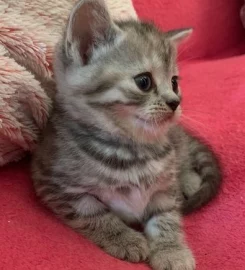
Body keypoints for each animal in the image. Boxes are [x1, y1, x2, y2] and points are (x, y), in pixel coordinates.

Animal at [31, 1, 221, 268]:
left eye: (174, 82)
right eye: (144, 81)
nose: (175, 102)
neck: (131, 149)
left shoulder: (164, 189)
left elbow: (166, 215)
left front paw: (172, 249)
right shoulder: (54, 184)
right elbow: (95, 213)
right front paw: (125, 239)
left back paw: (189, 181)